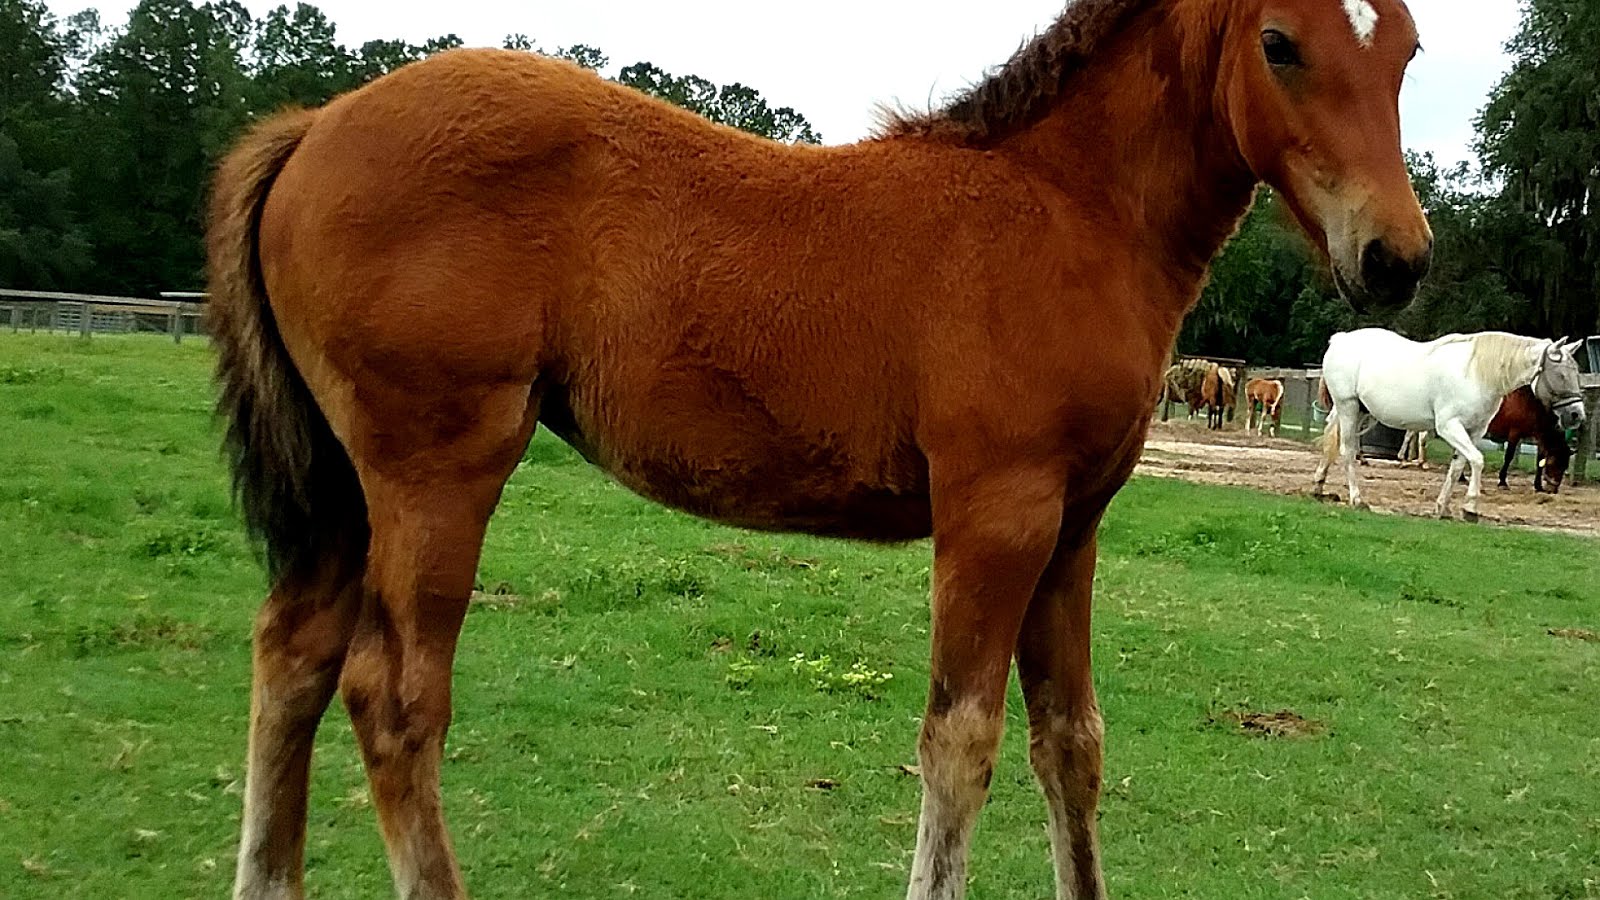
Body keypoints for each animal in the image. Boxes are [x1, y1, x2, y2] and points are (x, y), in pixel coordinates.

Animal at [208, 2, 1433, 897]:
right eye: (1279, 42)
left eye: (1409, 47)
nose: (1397, 258)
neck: (1063, 215)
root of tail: (314, 127)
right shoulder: (996, 515)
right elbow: (961, 746)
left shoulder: (1073, 528)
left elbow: (1070, 745)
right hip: (436, 473)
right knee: (393, 698)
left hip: (347, 486)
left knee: (293, 656)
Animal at [1313, 330, 1585, 520]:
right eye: (1561, 374)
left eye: (1576, 372)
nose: (1576, 415)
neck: (1476, 374)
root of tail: (1341, 339)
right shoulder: (1450, 427)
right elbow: (1477, 461)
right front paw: (1471, 508)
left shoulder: (1474, 432)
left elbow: (1457, 468)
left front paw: (1442, 509)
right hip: (1348, 407)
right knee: (1347, 451)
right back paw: (1357, 499)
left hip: (1358, 410)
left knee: (1331, 441)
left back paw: (1318, 486)